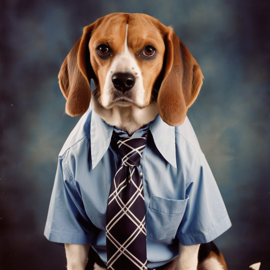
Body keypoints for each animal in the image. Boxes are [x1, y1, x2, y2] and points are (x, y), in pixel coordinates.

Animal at [44, 12, 232, 270]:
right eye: (102, 49)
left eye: (149, 51)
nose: (123, 80)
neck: (130, 131)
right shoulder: (72, 230)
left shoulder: (195, 218)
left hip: (212, 257)